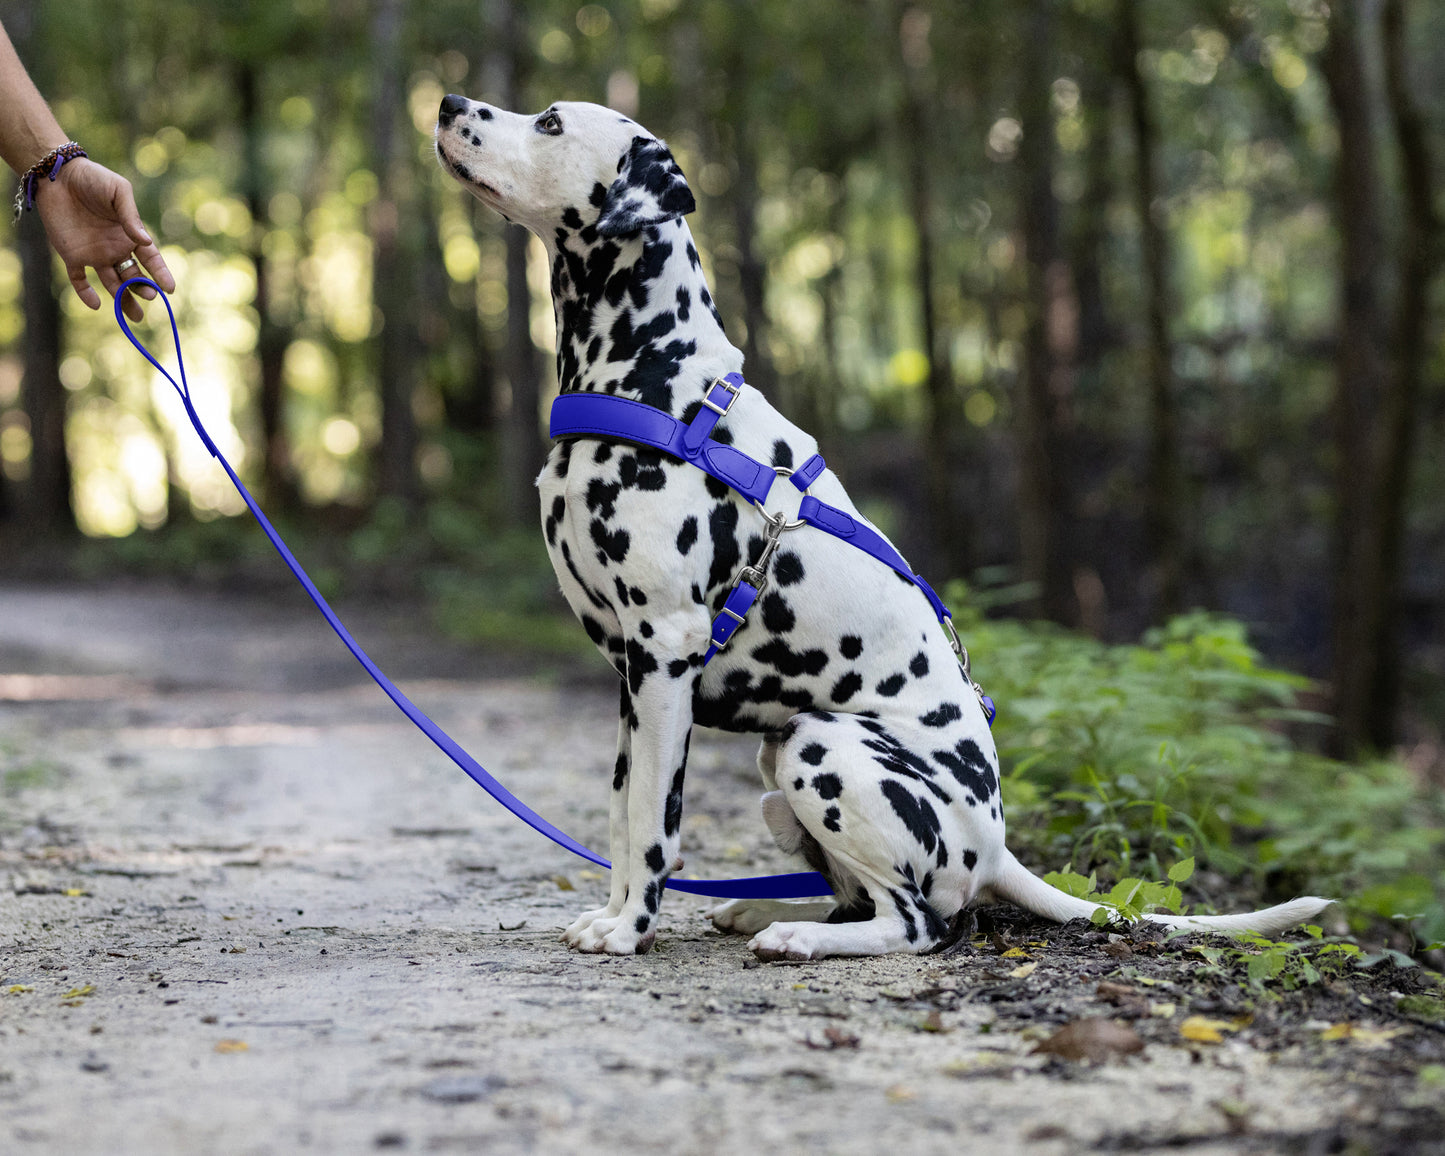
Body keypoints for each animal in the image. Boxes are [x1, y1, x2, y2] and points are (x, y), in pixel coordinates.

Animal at [430, 96, 1329, 959]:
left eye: (550, 123)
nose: (445, 103)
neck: (657, 378)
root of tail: (995, 847)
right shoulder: (631, 675)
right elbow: (623, 814)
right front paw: (614, 915)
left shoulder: (664, 652)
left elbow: (655, 821)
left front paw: (630, 932)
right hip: (779, 758)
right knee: (860, 897)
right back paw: (764, 914)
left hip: (821, 747)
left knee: (916, 923)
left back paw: (795, 936)